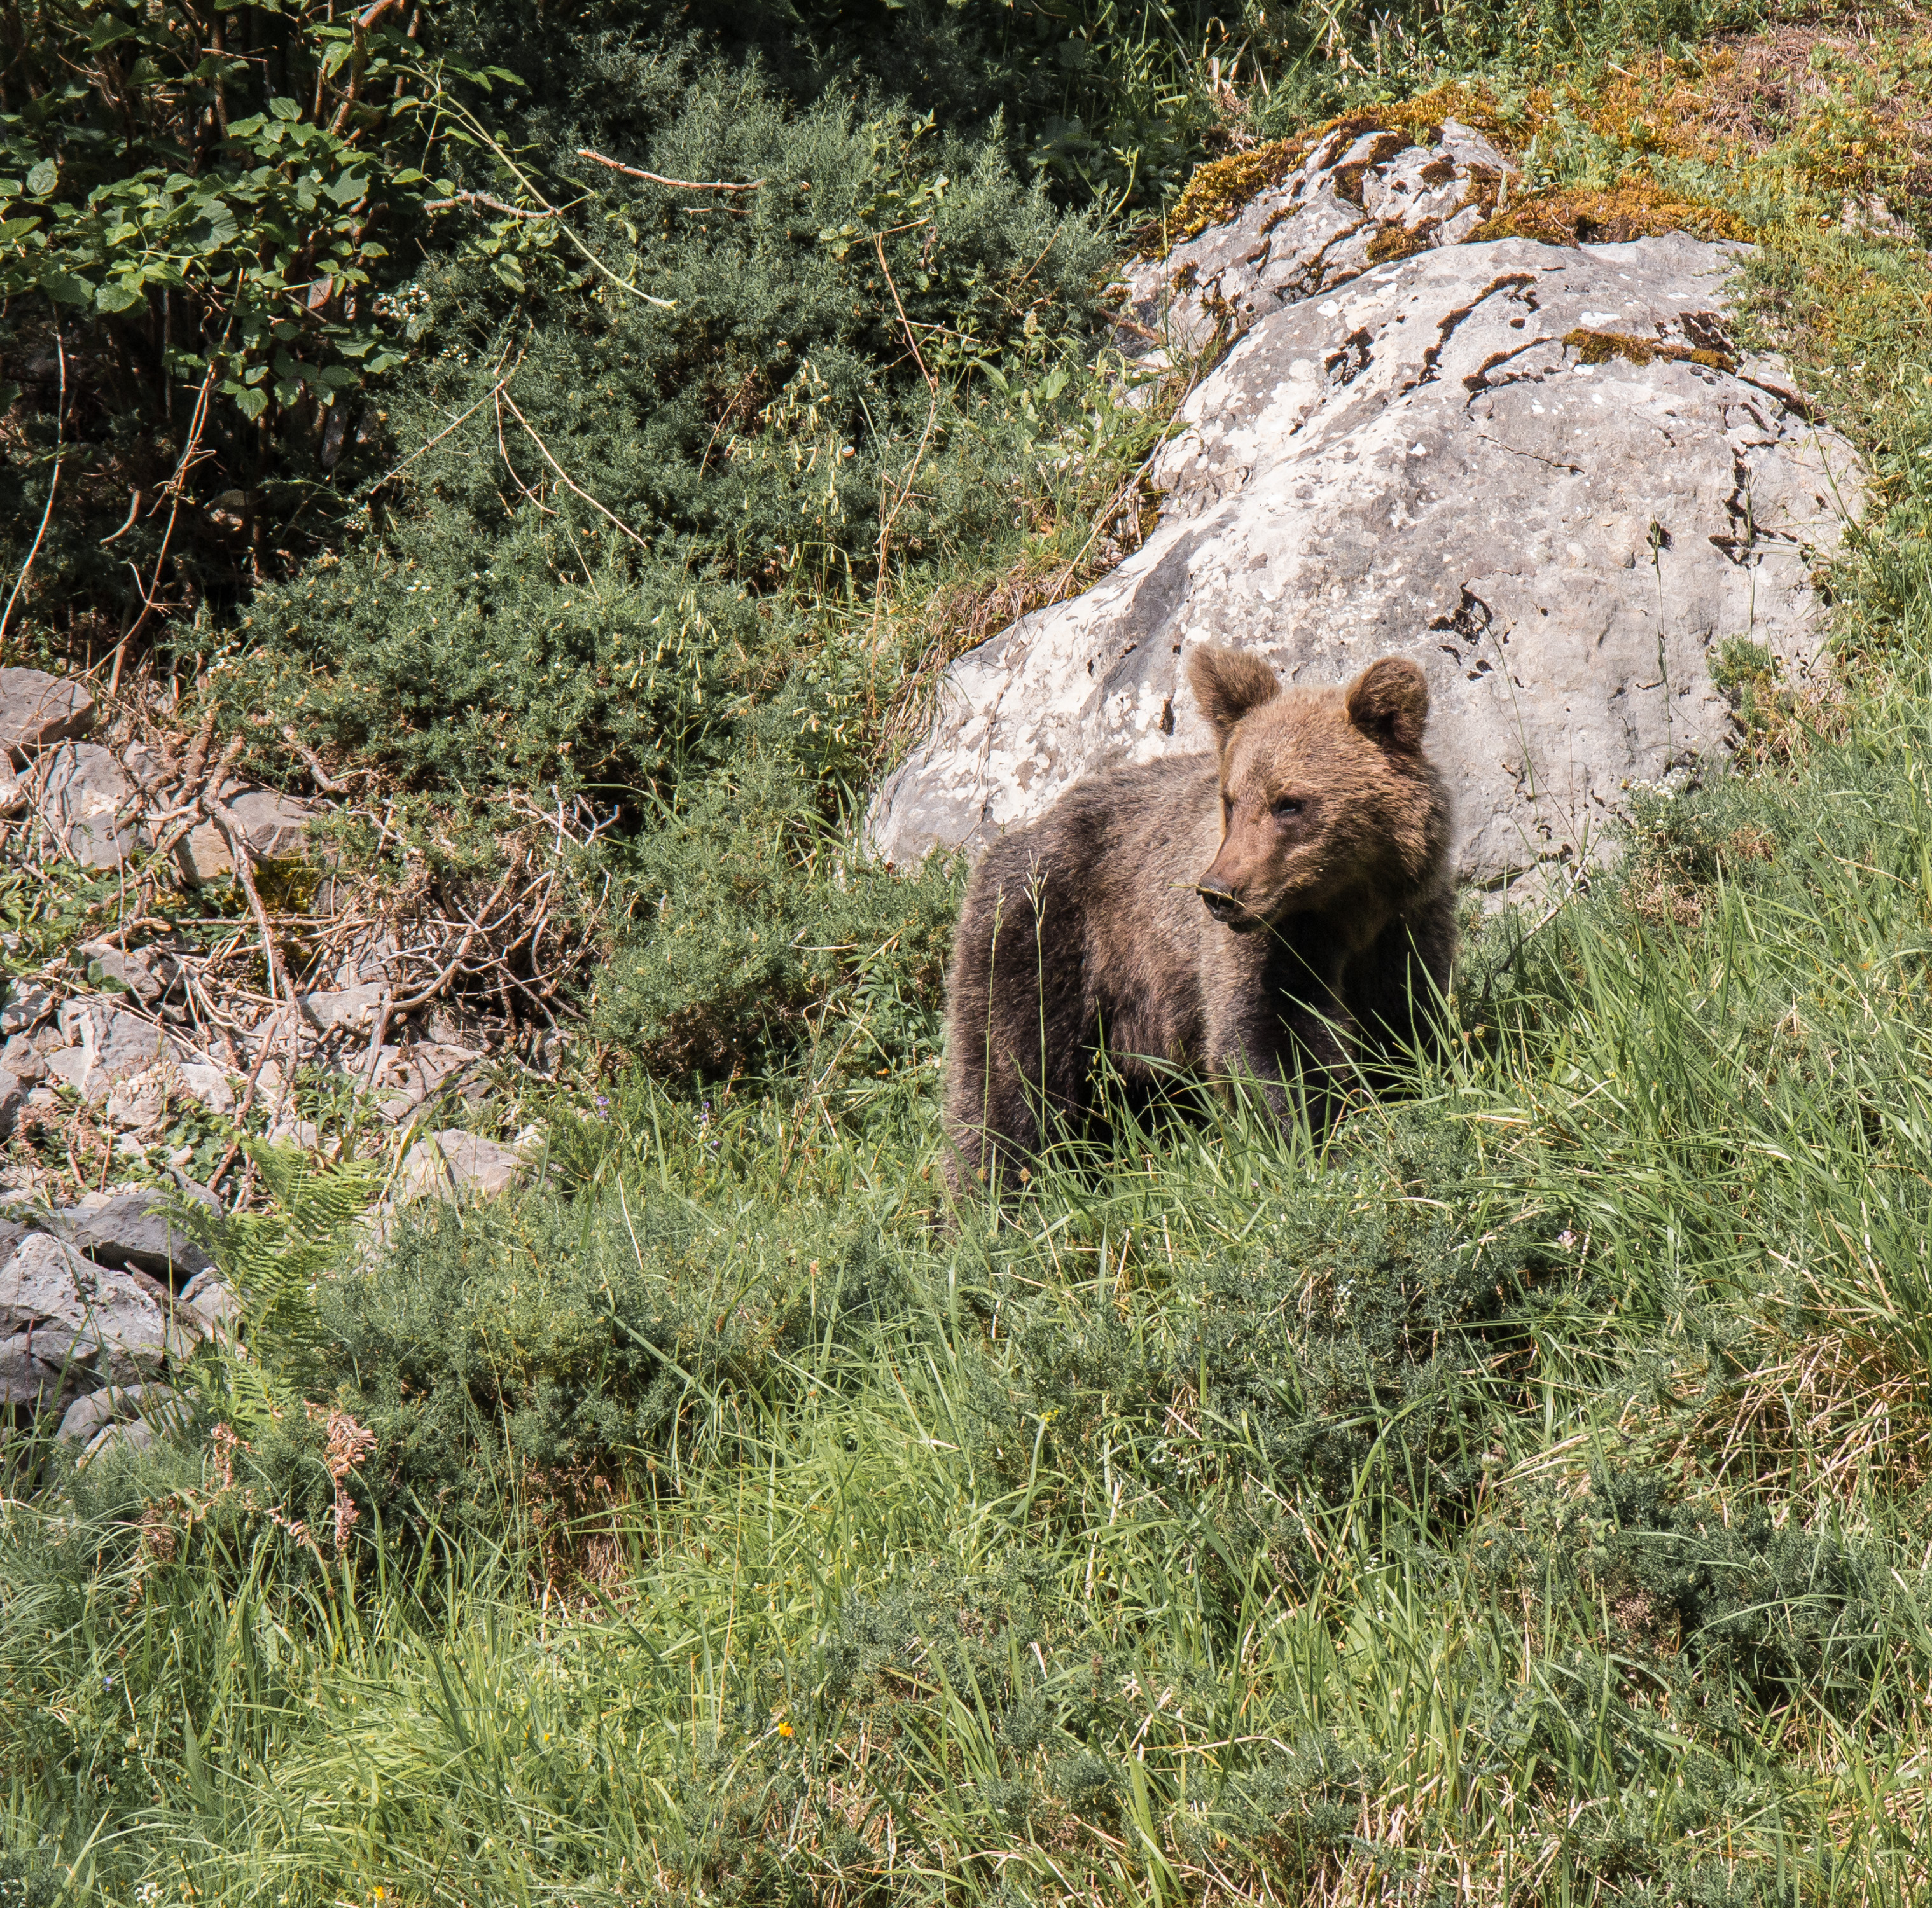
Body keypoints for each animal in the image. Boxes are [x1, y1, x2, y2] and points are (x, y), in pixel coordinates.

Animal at [941, 644, 1455, 1194]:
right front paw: (1311, 1139)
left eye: (1289, 803)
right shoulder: (1264, 943)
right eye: (1231, 800)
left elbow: (1407, 1020)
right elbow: (1264, 1033)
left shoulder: (1403, 925)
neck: (1344, 909)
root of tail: (1013, 839)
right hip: (1043, 939)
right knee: (1007, 1075)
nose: (1219, 893)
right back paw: (996, 1192)